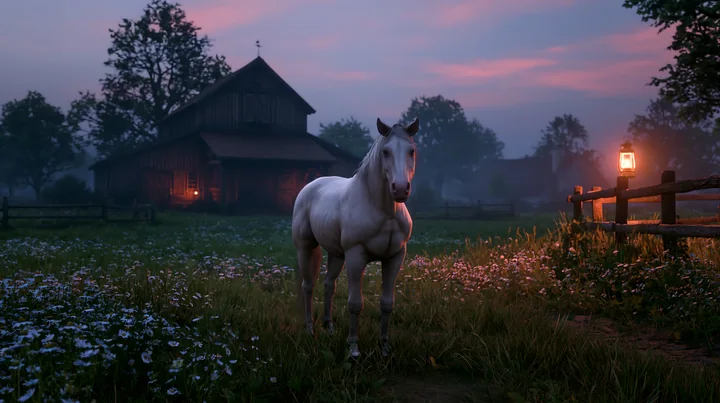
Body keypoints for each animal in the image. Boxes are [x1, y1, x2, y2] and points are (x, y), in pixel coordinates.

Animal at [291, 117, 419, 359]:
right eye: (386, 151)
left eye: (411, 150)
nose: (400, 189)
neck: (383, 210)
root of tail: (310, 186)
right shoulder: (356, 256)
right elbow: (355, 304)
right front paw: (353, 350)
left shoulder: (395, 257)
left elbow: (387, 303)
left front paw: (385, 347)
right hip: (306, 247)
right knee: (308, 286)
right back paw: (309, 329)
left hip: (336, 254)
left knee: (328, 285)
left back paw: (329, 327)